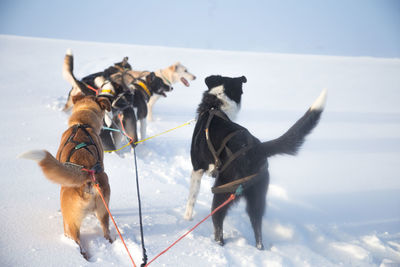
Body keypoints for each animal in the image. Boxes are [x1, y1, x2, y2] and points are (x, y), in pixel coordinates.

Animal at [19, 93, 111, 260]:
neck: (82, 123)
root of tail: (87, 177)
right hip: (104, 212)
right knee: (107, 233)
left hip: (70, 224)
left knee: (78, 243)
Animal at [186, 75, 326, 251]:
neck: (216, 105)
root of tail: (257, 149)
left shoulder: (196, 169)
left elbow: (191, 198)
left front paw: (187, 218)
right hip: (257, 198)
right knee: (258, 231)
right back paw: (259, 247)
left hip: (221, 192)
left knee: (218, 224)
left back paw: (218, 243)